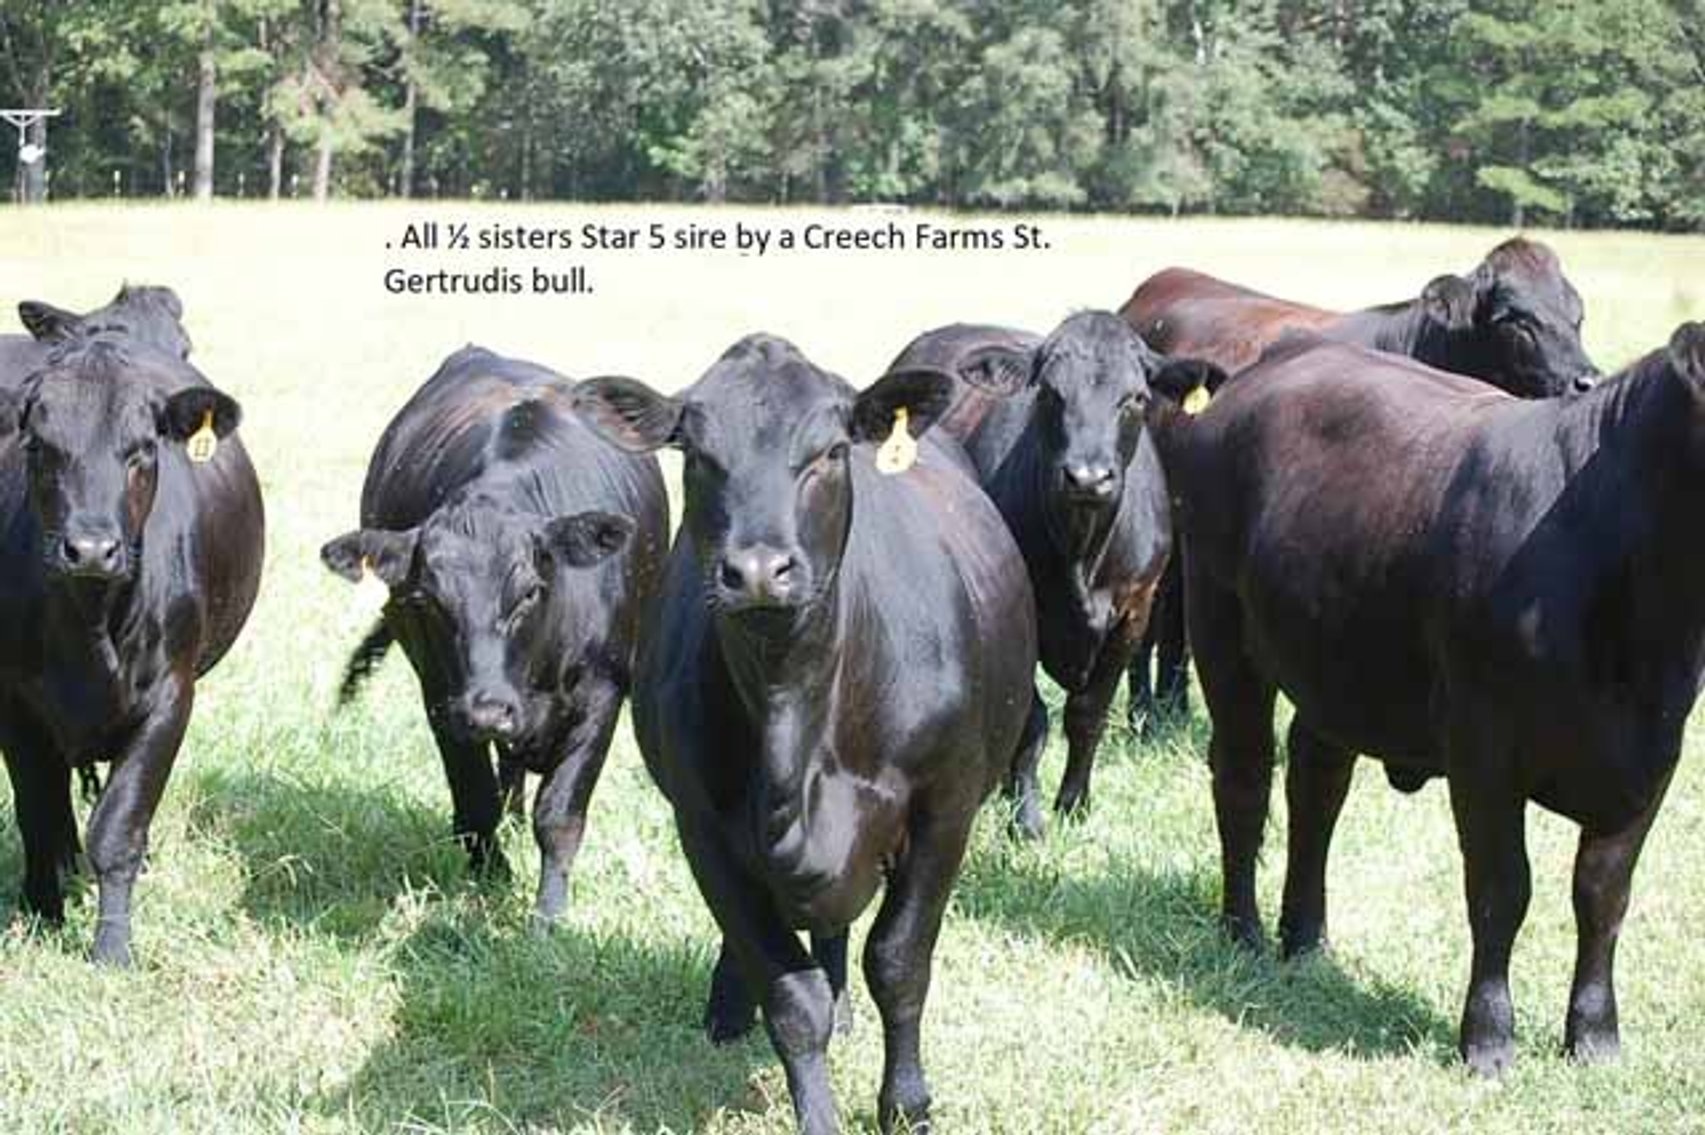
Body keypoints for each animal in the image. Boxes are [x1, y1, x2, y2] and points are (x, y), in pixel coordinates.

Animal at [0, 289, 262, 965]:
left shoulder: (170, 699)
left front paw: (112, 947)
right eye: (39, 446)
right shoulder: (15, 703)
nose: (91, 548)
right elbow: (39, 814)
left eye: (142, 448)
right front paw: (41, 915)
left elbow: (118, 827)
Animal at [320, 345, 667, 924]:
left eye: (528, 592)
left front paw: (548, 917)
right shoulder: (442, 697)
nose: (488, 710)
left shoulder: (603, 694)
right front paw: (492, 883)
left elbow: (559, 814)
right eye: (427, 600)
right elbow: (474, 802)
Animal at [571, 334, 1037, 1135]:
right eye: (697, 453)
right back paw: (729, 1007)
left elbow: (899, 961)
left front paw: (905, 1103)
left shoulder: (944, 810)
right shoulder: (703, 825)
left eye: (827, 451)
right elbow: (790, 995)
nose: (759, 569)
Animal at [887, 313, 1223, 828]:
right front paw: (1024, 815)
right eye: (1049, 393)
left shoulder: (1134, 612)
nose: (1087, 477)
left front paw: (1073, 804)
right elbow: (1032, 718)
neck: (1081, 553)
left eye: (1136, 398)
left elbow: (1087, 714)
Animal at [1164, 323, 1705, 1075]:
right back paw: (1242, 931)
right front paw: (1488, 1039)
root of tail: (1277, 358)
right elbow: (1502, 890)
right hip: (1223, 634)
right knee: (1244, 780)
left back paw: (1306, 938)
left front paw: (1595, 1037)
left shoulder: (1650, 761)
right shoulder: (1484, 751)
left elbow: (1602, 896)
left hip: (1334, 658)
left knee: (1316, 787)